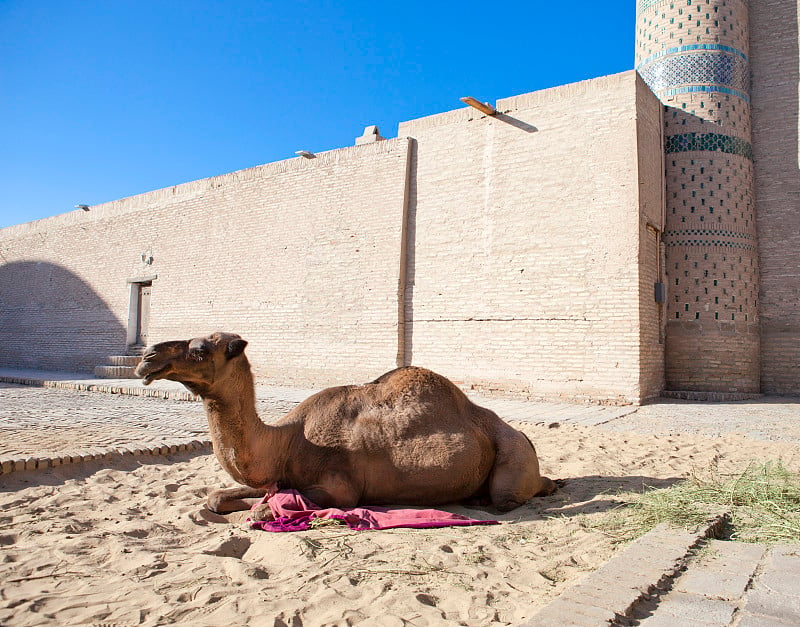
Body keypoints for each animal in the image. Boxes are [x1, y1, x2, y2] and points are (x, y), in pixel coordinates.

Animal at [134, 332, 556, 516]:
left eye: (200, 349)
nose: (147, 356)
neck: (288, 440)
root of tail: (525, 437)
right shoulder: (278, 478)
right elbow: (218, 496)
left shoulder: (340, 490)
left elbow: (266, 510)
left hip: (512, 457)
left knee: (507, 497)